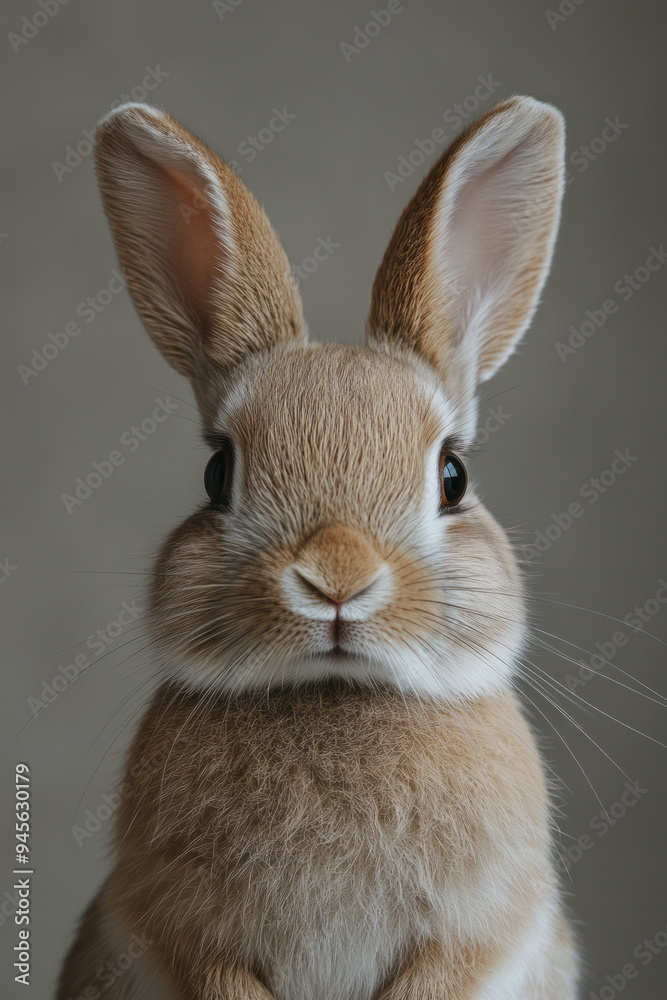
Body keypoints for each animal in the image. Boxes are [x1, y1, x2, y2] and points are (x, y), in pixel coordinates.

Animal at [57, 95, 579, 1000]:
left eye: (452, 475)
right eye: (216, 474)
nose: (337, 579)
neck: (335, 693)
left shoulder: (478, 931)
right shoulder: (179, 929)